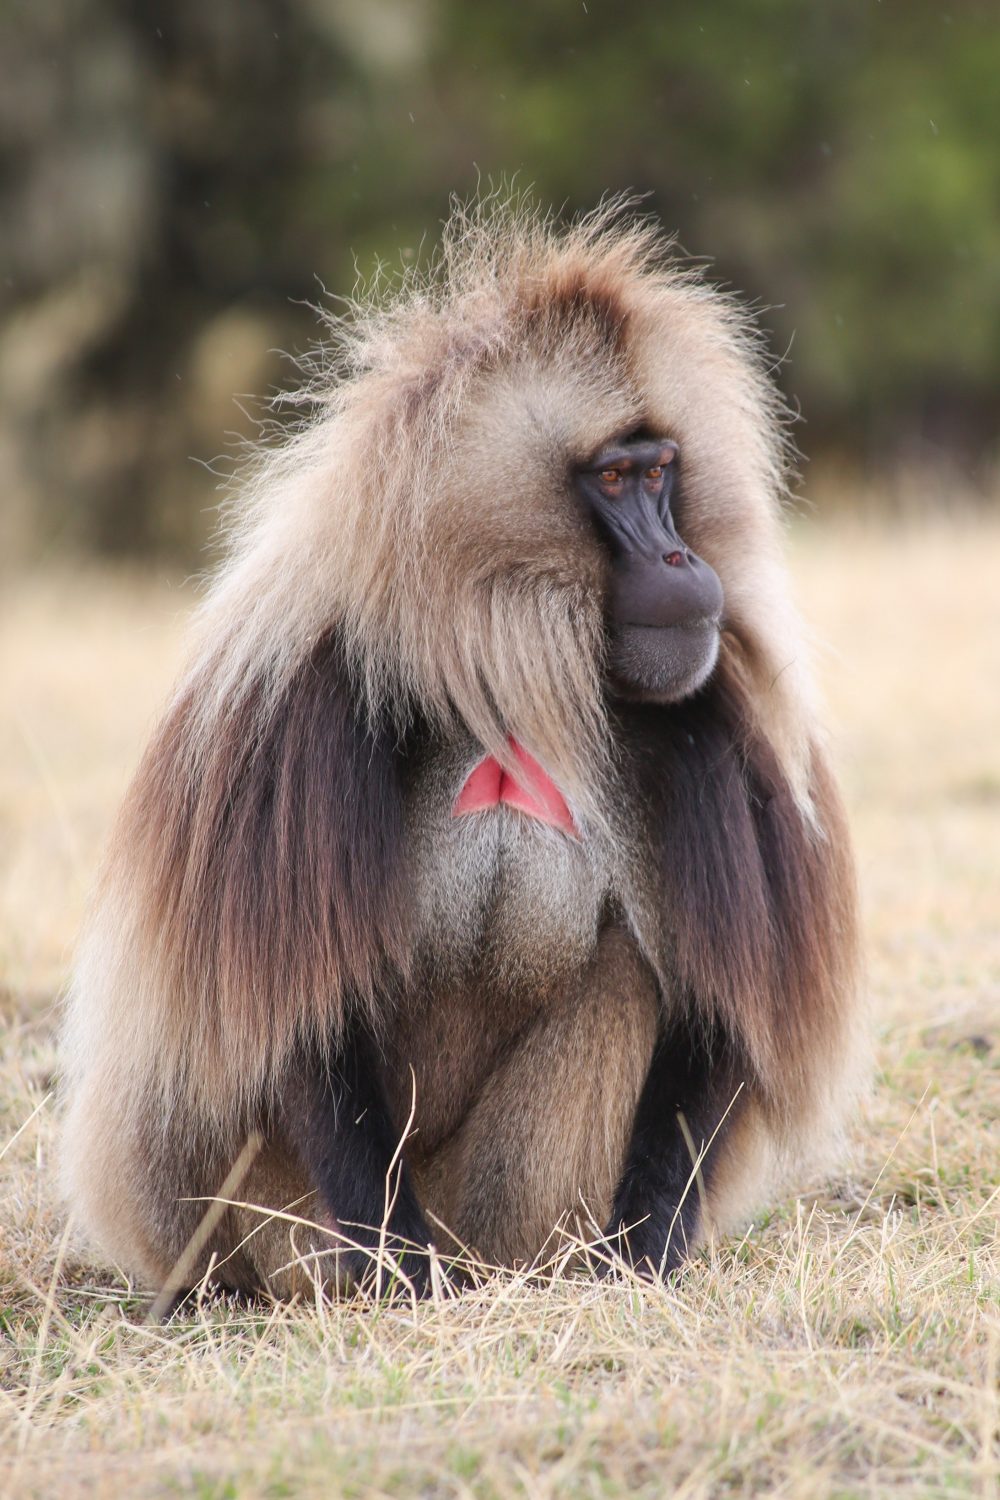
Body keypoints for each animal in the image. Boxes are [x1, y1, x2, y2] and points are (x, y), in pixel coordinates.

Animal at [59, 199, 862, 1301]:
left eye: (662, 471)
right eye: (615, 478)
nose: (681, 559)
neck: (497, 665)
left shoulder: (707, 718)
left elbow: (712, 1013)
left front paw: (646, 1254)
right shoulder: (304, 701)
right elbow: (303, 1016)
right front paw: (398, 1277)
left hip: (505, 1216)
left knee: (629, 977)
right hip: (259, 1216)